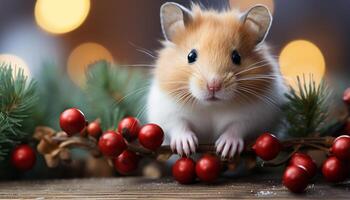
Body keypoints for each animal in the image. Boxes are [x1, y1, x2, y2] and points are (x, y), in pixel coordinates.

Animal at [146, 1, 286, 158]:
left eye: (236, 57)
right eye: (191, 56)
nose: (213, 86)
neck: (211, 106)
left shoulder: (255, 116)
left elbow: (237, 127)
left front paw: (225, 149)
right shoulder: (168, 112)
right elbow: (179, 126)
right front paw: (186, 146)